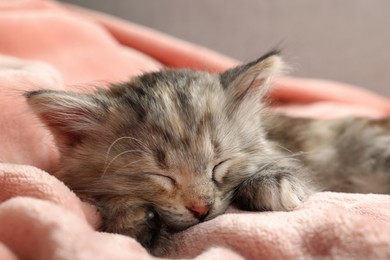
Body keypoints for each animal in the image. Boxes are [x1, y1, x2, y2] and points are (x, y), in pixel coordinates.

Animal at [25, 52, 390, 256]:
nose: (201, 208)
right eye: (161, 176)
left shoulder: (294, 155)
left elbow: (289, 173)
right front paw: (133, 220)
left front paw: (272, 185)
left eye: (220, 165)